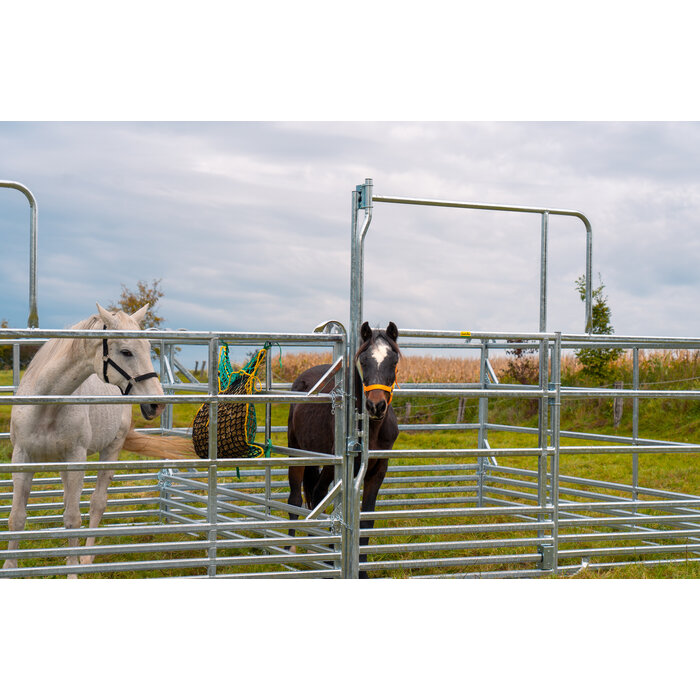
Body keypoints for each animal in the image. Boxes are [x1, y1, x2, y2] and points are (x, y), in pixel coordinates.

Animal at [3, 303, 194, 576]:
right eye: (126, 351)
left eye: (148, 347)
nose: (157, 405)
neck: (46, 404)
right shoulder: (23, 458)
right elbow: (17, 517)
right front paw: (10, 567)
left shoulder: (76, 459)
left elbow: (73, 518)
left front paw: (72, 571)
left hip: (111, 450)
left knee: (97, 503)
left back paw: (86, 558)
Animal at [287, 321, 400, 578]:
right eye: (364, 361)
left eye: (393, 361)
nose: (376, 406)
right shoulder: (339, 465)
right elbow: (330, 506)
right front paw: (333, 560)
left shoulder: (378, 470)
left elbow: (366, 519)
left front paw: (363, 570)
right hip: (298, 452)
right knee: (299, 498)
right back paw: (290, 549)